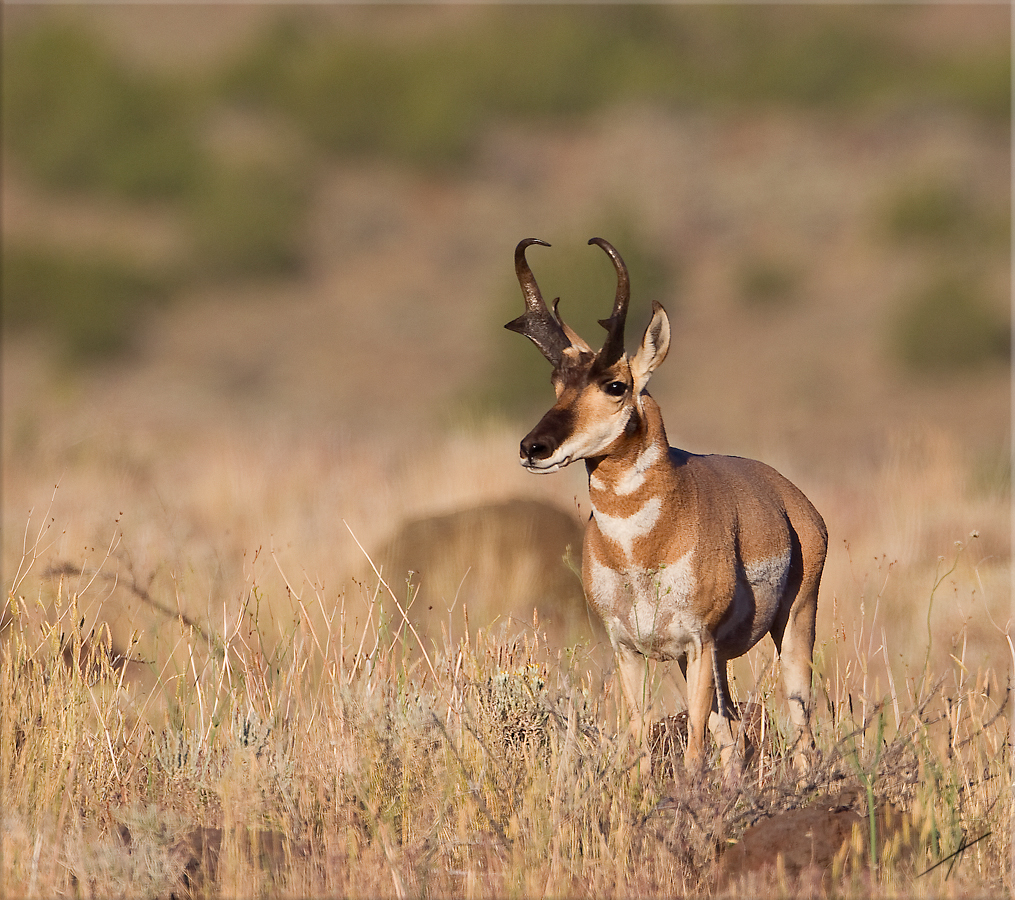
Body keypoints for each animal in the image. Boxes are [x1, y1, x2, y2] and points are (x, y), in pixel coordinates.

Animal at [503, 235, 828, 771]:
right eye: (556, 382)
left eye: (615, 385)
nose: (534, 448)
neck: (640, 549)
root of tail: (790, 498)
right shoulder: (631, 650)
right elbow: (640, 741)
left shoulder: (697, 644)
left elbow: (694, 749)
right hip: (708, 662)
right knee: (733, 735)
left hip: (793, 626)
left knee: (802, 731)